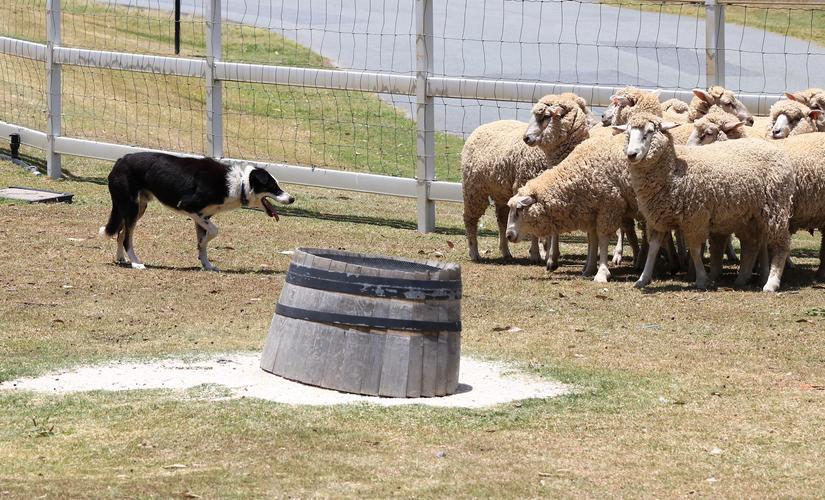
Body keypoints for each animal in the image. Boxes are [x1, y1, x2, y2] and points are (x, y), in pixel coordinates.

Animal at [100, 151, 294, 272]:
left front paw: (207, 264)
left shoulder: (202, 216)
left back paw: (121, 258)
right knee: (127, 238)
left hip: (137, 208)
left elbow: (205, 242)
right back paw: (136, 263)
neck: (239, 184)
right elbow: (215, 231)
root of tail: (120, 160)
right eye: (273, 187)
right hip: (131, 207)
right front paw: (202, 250)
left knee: (121, 233)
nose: (292, 199)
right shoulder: (188, 207)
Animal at [460, 94, 588, 266]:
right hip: (474, 188)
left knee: (501, 219)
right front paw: (536, 254)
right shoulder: (527, 189)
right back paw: (474, 252)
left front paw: (548, 253)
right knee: (470, 219)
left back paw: (506, 252)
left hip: (501, 192)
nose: (526, 138)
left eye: (546, 116)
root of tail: (482, 126)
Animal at [616, 113, 792, 292]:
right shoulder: (657, 218)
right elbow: (653, 248)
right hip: (751, 215)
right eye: (628, 133)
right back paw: (743, 278)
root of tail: (774, 150)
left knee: (781, 245)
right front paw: (643, 279)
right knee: (753, 243)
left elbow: (694, 249)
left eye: (650, 131)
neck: (674, 170)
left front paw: (701, 279)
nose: (631, 154)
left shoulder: (694, 218)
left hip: (775, 207)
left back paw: (771, 282)